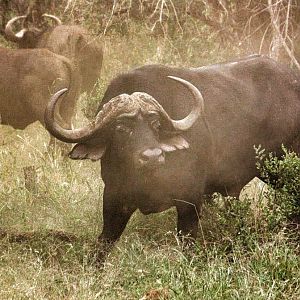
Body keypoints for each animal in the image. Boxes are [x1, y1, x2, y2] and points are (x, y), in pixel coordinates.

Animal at [43, 55, 300, 262]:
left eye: (156, 125)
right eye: (121, 128)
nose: (152, 156)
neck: (149, 178)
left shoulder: (190, 199)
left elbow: (187, 241)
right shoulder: (115, 197)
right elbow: (104, 241)